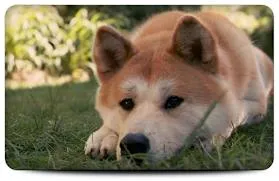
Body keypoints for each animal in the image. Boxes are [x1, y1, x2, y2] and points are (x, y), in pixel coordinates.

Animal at [84, 10, 274, 162]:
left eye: (174, 101)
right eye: (126, 103)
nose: (133, 144)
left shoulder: (255, 105)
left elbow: (236, 114)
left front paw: (209, 138)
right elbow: (108, 122)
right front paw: (103, 136)